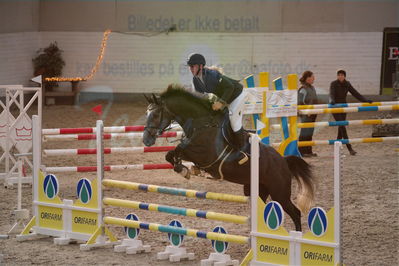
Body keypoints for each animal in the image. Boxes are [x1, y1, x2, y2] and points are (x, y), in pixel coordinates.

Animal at [144, 83, 316, 231]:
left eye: (156, 114)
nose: (146, 140)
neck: (201, 123)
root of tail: (284, 161)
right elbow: (171, 154)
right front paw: (183, 169)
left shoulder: (205, 155)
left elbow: (179, 149)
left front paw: (183, 169)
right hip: (258, 190)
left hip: (279, 192)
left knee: (295, 213)